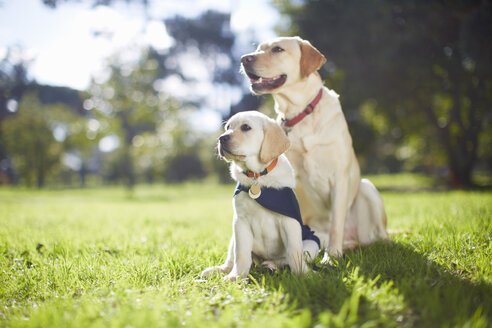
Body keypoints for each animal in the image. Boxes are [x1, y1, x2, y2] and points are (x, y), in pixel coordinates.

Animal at [200, 111, 320, 280]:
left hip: (312, 243)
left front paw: (304, 275)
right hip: (233, 237)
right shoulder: (240, 222)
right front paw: (236, 277)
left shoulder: (289, 222)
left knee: (285, 259)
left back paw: (272, 265)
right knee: (232, 259)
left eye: (245, 127)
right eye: (228, 127)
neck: (257, 176)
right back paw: (219, 270)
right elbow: (241, 254)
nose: (221, 138)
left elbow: (294, 252)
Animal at [241, 37, 388, 260]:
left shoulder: (340, 177)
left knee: (378, 238)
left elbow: (336, 223)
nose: (244, 59)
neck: (301, 114)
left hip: (367, 188)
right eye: (258, 49)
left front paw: (332, 256)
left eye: (277, 49)